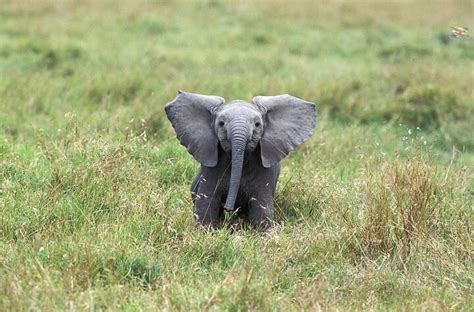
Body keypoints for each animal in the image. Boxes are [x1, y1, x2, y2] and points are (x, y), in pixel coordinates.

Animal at [165, 90, 316, 229]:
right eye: (221, 123)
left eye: (257, 124)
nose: (228, 207)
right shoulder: (210, 169)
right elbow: (207, 200)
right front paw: (205, 231)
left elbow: (261, 205)